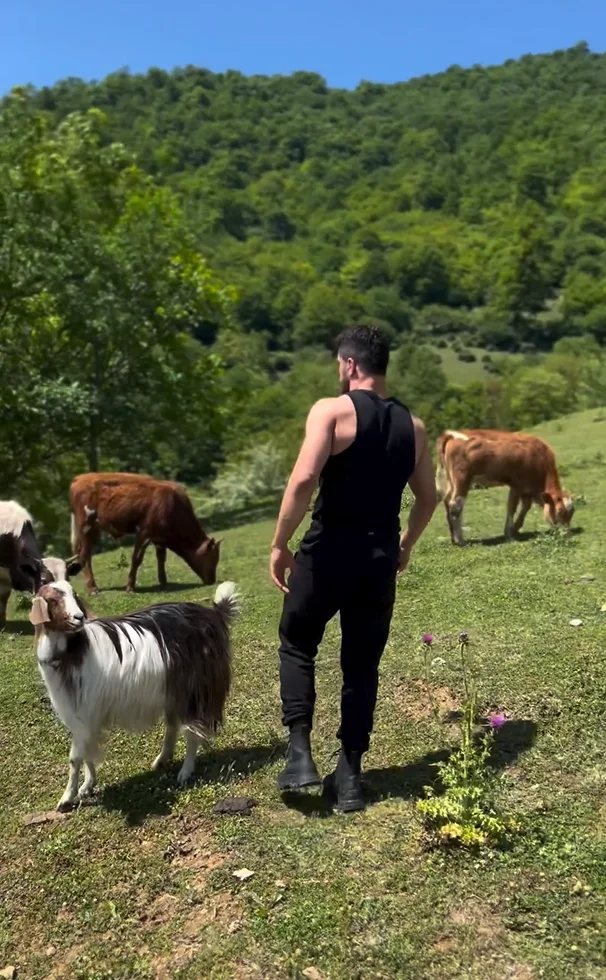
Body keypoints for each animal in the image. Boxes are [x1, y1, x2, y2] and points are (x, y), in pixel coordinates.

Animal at [31, 579, 239, 811]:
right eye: (51, 600)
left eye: (74, 595)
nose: (79, 617)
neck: (75, 650)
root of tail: (213, 615)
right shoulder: (85, 717)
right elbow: (87, 753)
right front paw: (87, 786)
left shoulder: (84, 712)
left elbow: (75, 757)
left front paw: (67, 798)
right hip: (173, 690)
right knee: (173, 725)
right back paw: (162, 760)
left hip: (193, 691)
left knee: (191, 732)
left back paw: (185, 772)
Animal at [69, 473, 221, 594]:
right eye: (212, 558)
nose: (212, 580)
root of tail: (80, 478)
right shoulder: (144, 532)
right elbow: (136, 559)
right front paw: (130, 587)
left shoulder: (159, 538)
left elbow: (161, 558)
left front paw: (164, 582)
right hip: (86, 527)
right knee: (84, 556)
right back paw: (93, 589)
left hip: (93, 530)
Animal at [435, 429, 574, 546]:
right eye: (560, 511)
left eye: (572, 513)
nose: (566, 533)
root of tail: (452, 434)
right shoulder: (517, 485)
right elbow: (512, 508)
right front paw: (509, 533)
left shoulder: (526, 489)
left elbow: (526, 507)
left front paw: (516, 528)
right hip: (462, 479)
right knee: (456, 506)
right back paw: (460, 540)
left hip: (451, 482)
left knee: (447, 502)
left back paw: (453, 539)